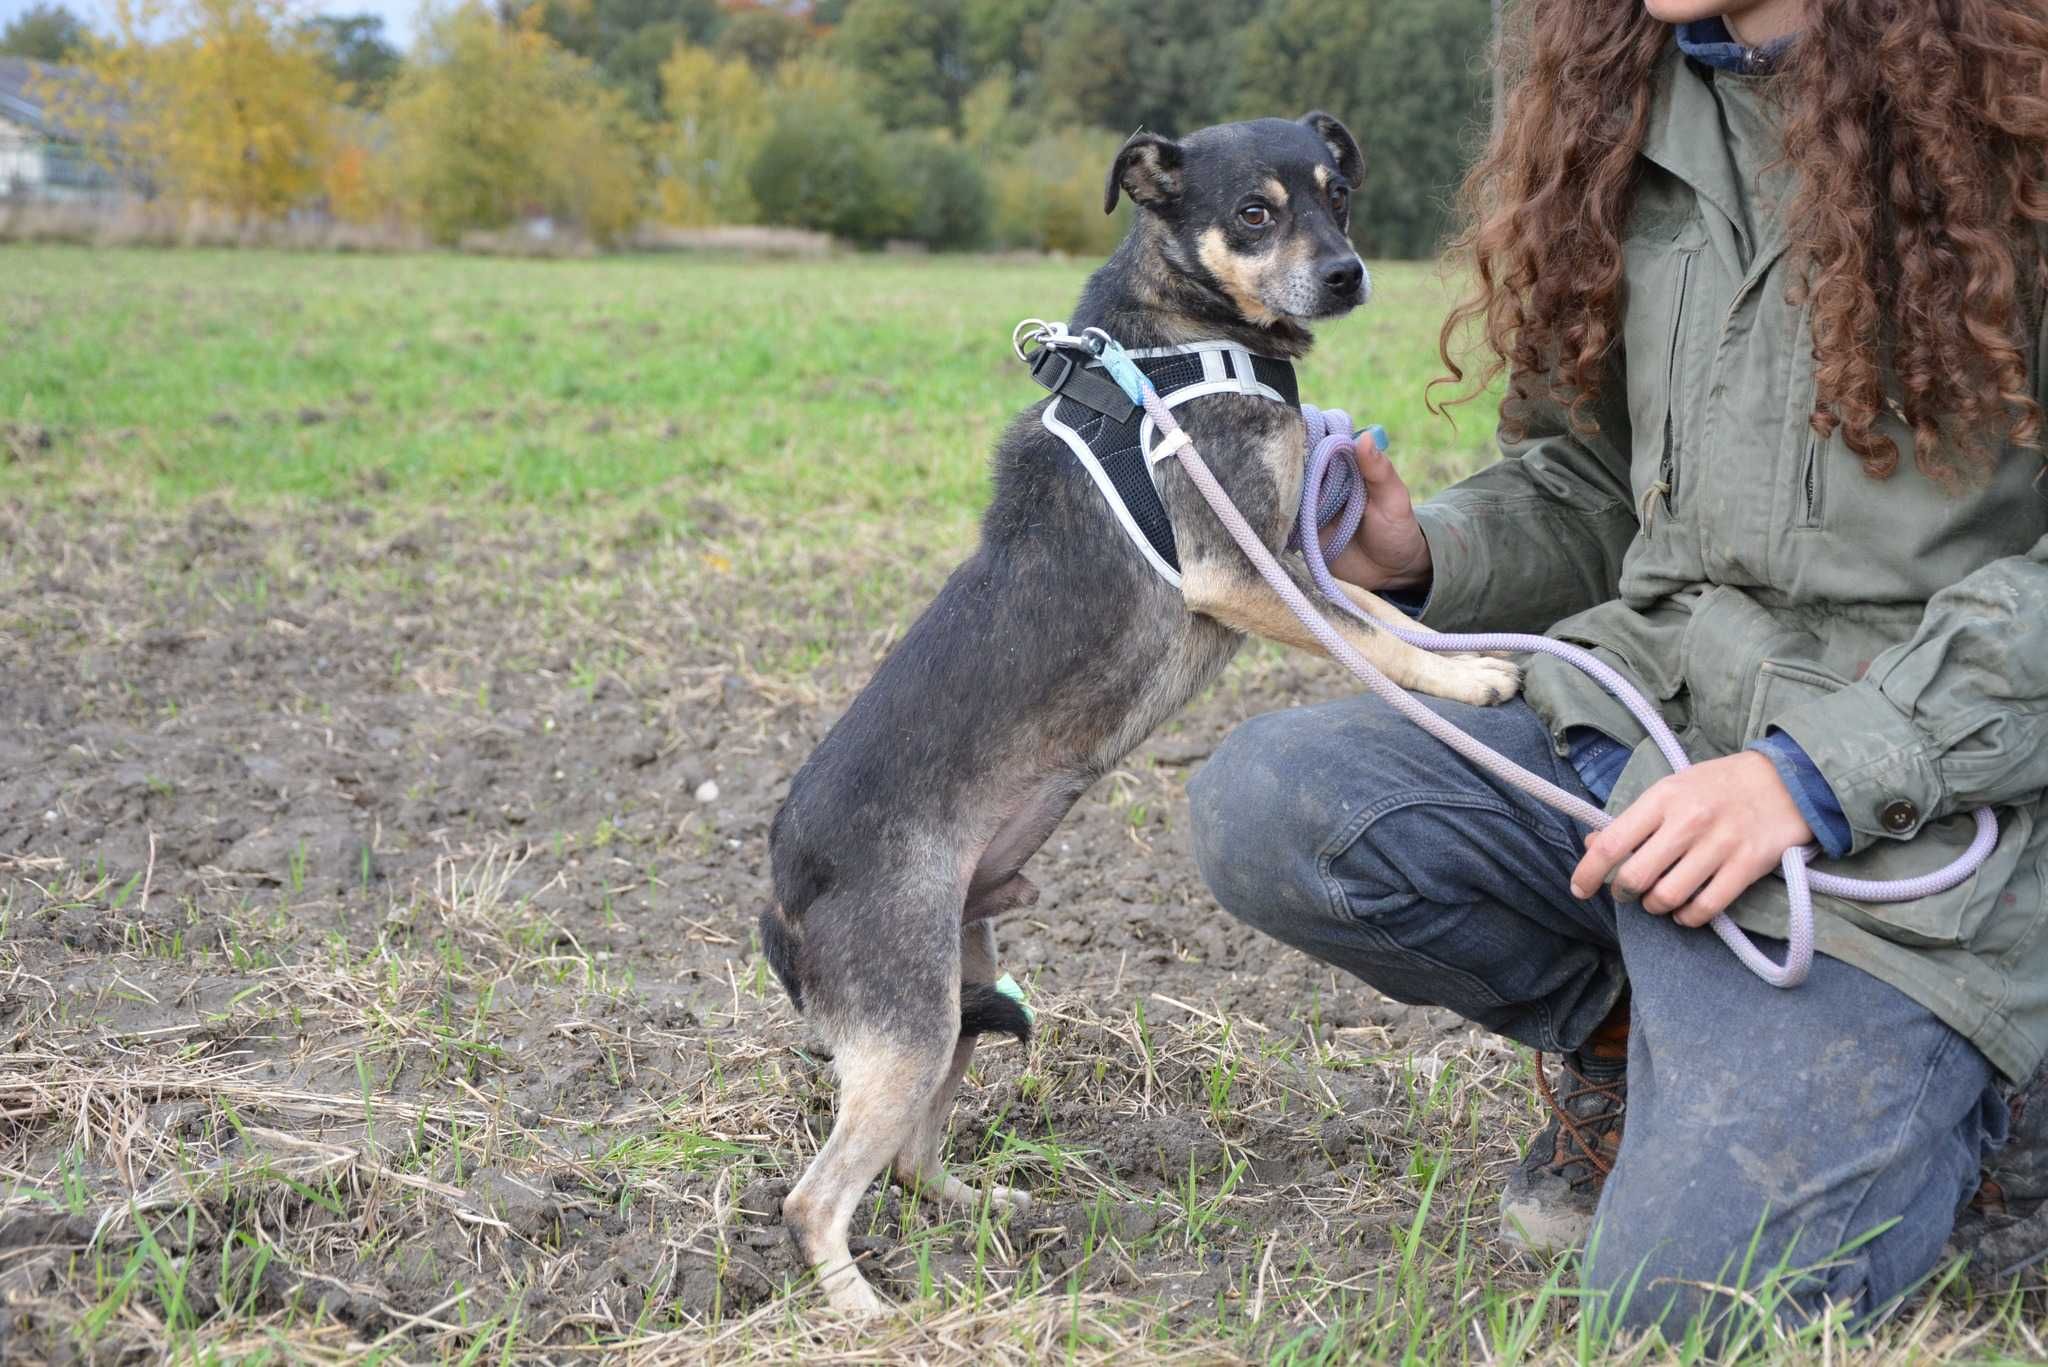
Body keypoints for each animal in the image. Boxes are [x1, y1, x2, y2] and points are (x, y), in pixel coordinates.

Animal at [761, 112, 1515, 1311]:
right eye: (1253, 212)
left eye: (1337, 192)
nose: (1347, 273)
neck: (1175, 339)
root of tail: (782, 892)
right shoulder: (1239, 567)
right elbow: (1369, 637)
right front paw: (1467, 680)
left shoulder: (1292, 548)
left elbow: (1368, 607)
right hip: (906, 1021)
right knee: (813, 1197)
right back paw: (864, 1310)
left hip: (956, 995)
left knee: (917, 1159)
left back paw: (993, 1209)